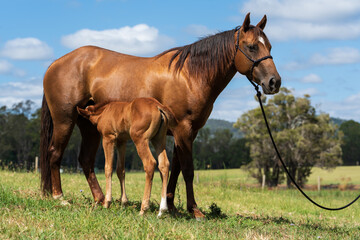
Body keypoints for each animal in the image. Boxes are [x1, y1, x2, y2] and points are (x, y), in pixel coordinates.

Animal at [40, 12, 282, 218]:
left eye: (269, 45)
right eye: (251, 47)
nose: (274, 82)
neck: (189, 75)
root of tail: (55, 64)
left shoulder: (185, 133)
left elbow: (174, 168)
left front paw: (171, 205)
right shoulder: (183, 130)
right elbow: (188, 170)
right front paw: (194, 210)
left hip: (89, 126)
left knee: (86, 160)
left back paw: (100, 199)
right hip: (65, 121)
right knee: (54, 154)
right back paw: (60, 197)